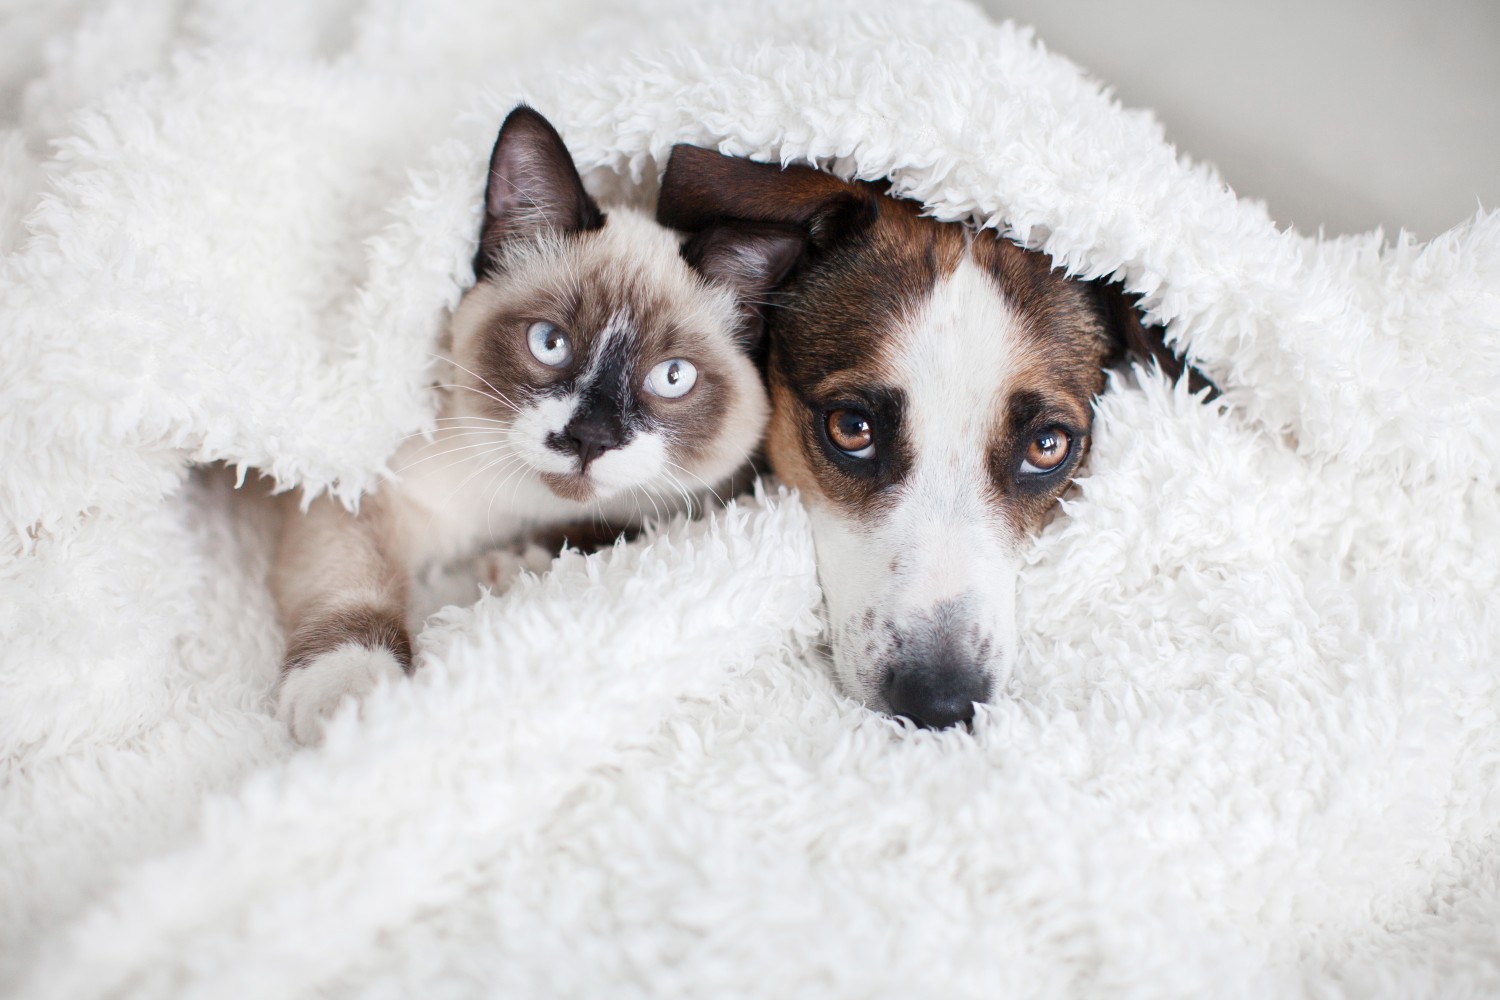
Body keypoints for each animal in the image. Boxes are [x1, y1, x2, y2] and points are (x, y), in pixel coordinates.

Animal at [274, 109, 804, 746]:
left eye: (672, 377)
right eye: (550, 343)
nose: (590, 439)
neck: (519, 509)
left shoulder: (675, 509)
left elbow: (604, 533)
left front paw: (509, 567)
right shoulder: (357, 492)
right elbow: (352, 581)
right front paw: (351, 703)